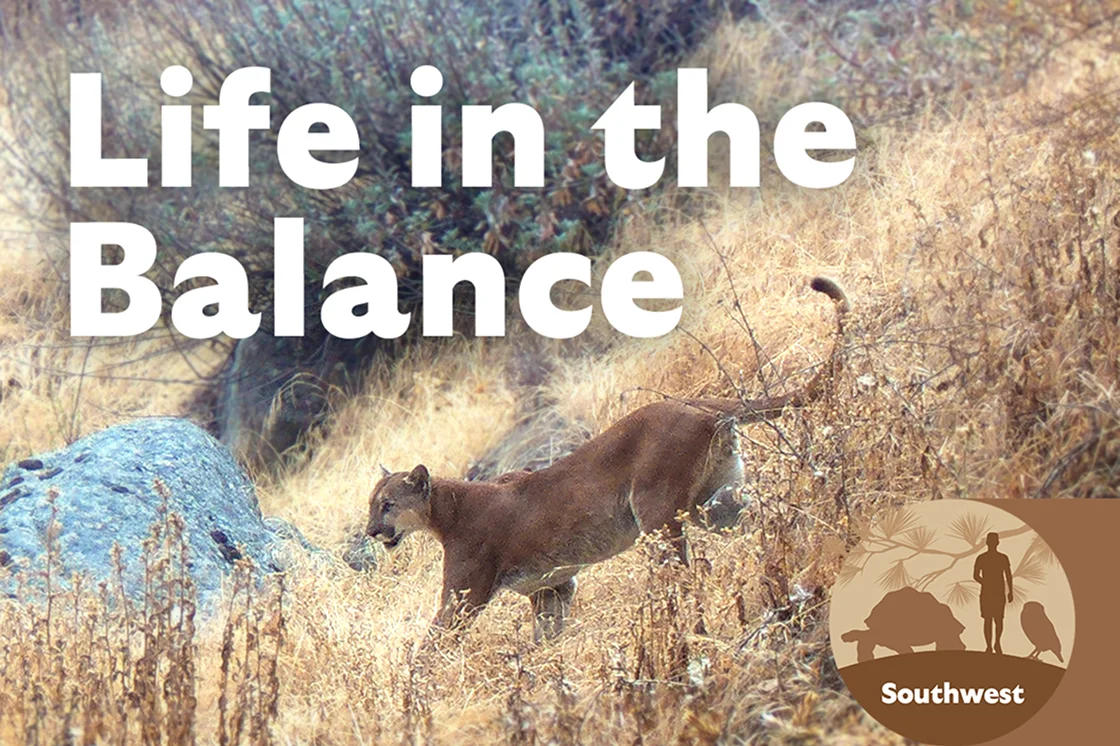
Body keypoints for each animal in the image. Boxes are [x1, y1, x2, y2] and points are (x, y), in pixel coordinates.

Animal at [367, 277, 850, 642]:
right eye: (371, 506)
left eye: (387, 505)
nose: (371, 532)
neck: (443, 512)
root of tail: (696, 404)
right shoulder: (553, 587)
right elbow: (544, 640)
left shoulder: (465, 594)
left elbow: (430, 650)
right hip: (716, 504)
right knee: (768, 518)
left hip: (657, 513)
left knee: (684, 574)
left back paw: (690, 629)